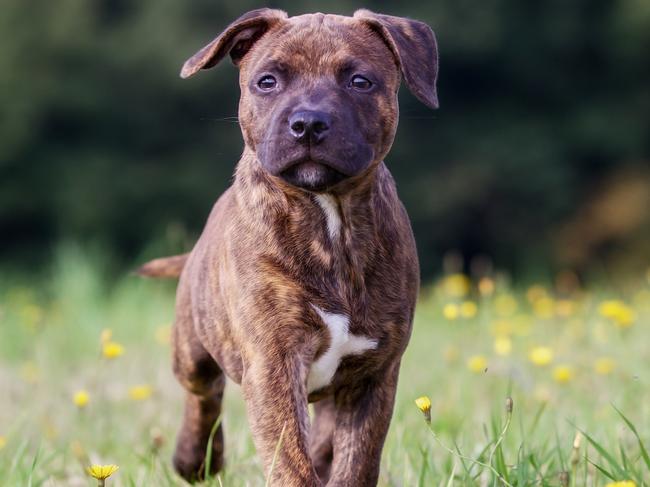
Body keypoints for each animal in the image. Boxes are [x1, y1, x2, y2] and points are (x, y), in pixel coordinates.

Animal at [139, 8, 438, 487]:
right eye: (267, 81)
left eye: (360, 81)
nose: (309, 123)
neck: (330, 219)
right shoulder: (272, 364)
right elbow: (291, 463)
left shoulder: (374, 375)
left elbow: (356, 463)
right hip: (192, 348)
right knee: (203, 394)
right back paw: (195, 459)